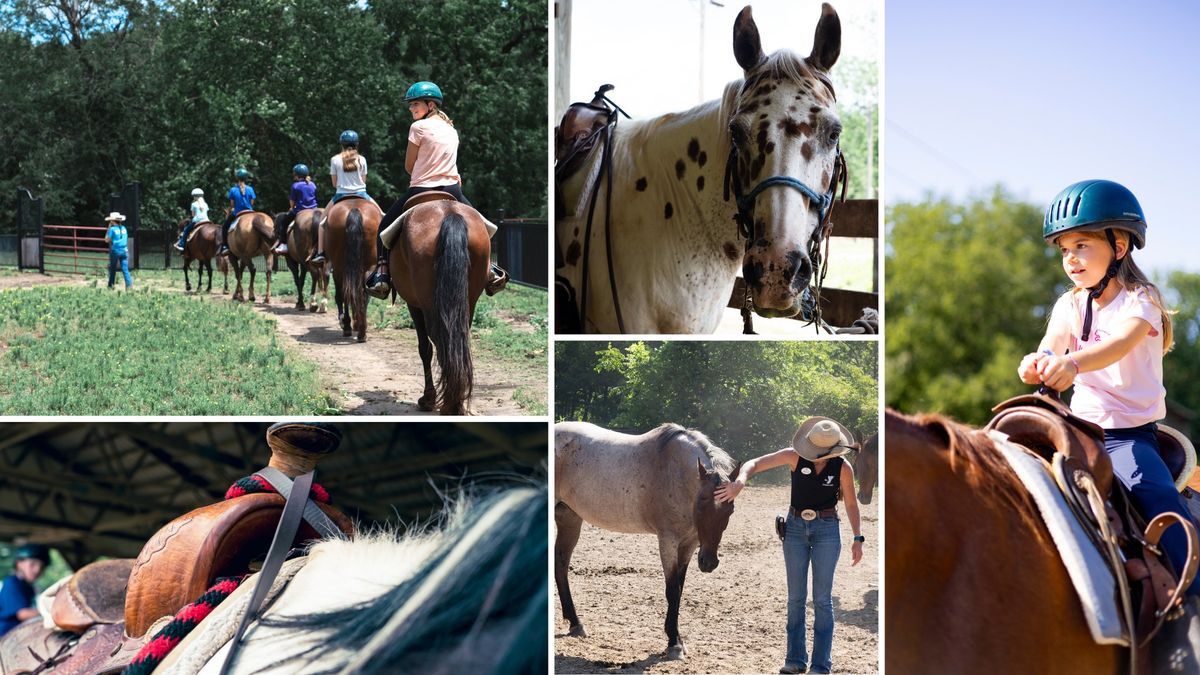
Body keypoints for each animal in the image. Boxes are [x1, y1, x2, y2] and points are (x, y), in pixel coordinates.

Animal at [324, 196, 379, 338]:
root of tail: (354, 209)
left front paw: (346, 322)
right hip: (367, 266)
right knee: (361, 293)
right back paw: (361, 331)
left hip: (339, 268)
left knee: (345, 294)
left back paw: (349, 326)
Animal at [388, 196, 492, 413]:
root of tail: (449, 212)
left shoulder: (414, 304)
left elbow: (424, 348)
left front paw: (428, 398)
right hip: (469, 300)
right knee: (458, 340)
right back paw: (457, 402)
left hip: (428, 304)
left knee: (441, 342)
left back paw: (448, 404)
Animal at [554, 420, 739, 658]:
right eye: (702, 502)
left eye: (730, 510)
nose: (708, 563)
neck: (675, 473)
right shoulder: (668, 541)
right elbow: (672, 590)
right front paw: (674, 643)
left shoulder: (689, 544)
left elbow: (679, 589)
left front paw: (677, 639)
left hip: (569, 518)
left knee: (560, 564)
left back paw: (575, 623)